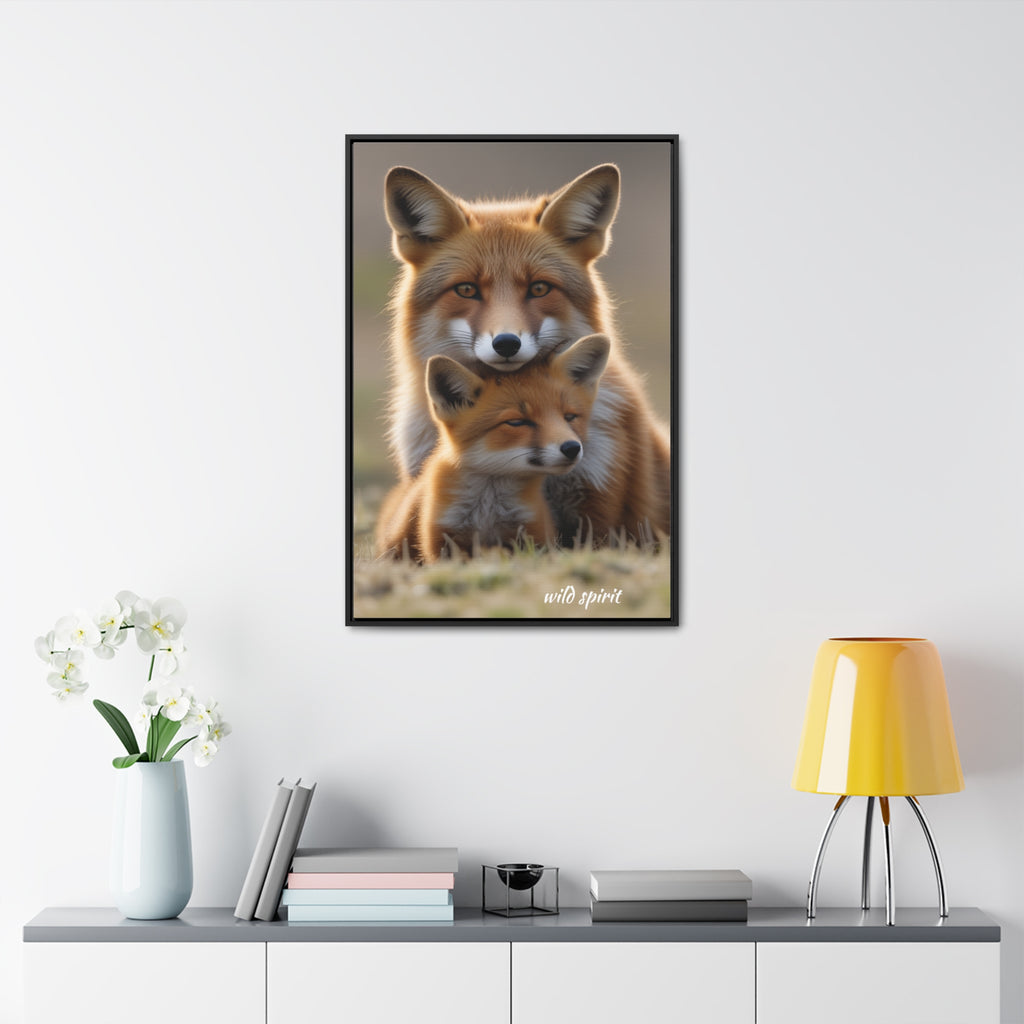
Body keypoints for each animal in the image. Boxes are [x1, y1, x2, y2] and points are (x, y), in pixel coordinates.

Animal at [375, 334, 610, 563]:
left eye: (569, 417)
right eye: (517, 422)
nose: (572, 448)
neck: (488, 510)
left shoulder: (532, 533)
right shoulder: (442, 539)